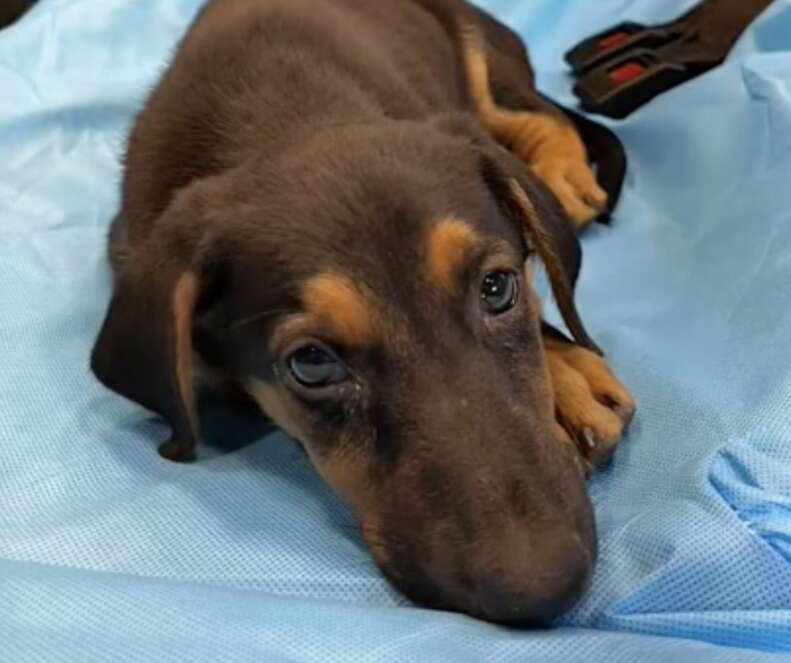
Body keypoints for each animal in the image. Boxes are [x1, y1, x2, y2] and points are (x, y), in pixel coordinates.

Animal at [91, 0, 636, 624]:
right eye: (311, 364)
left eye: (497, 289)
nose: (546, 585)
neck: (286, 116)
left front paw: (565, 378)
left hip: (479, 63)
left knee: (540, 116)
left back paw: (564, 177)